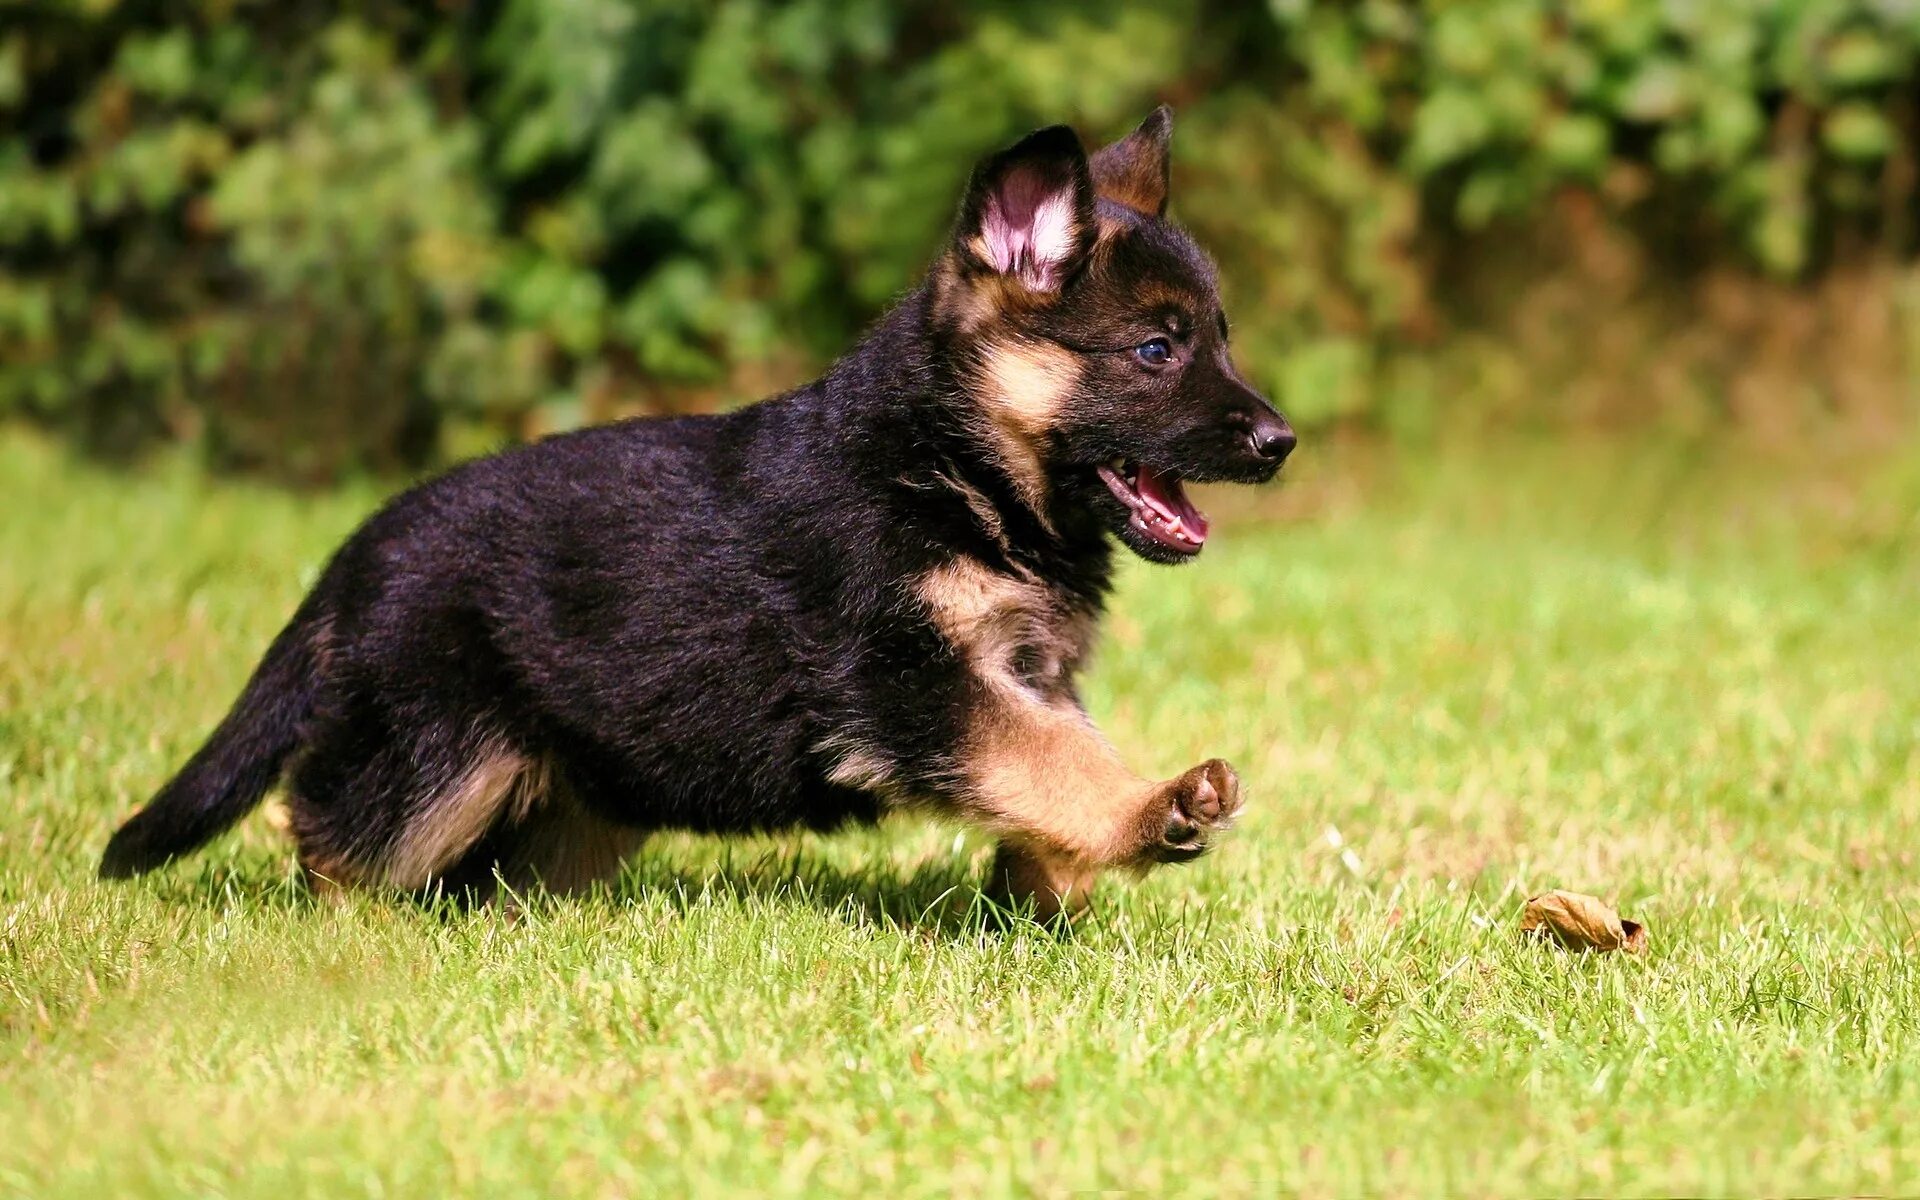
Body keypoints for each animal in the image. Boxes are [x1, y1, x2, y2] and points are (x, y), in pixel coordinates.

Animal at [108, 112, 1305, 917]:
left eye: (1219, 338)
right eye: (1156, 349)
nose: (1280, 442)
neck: (949, 466)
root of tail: (355, 555)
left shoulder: (1021, 673)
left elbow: (1049, 757)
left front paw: (1042, 884)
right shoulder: (911, 682)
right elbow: (1049, 758)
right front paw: (1150, 811)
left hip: (578, 792)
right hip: (434, 758)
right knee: (331, 830)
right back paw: (343, 928)